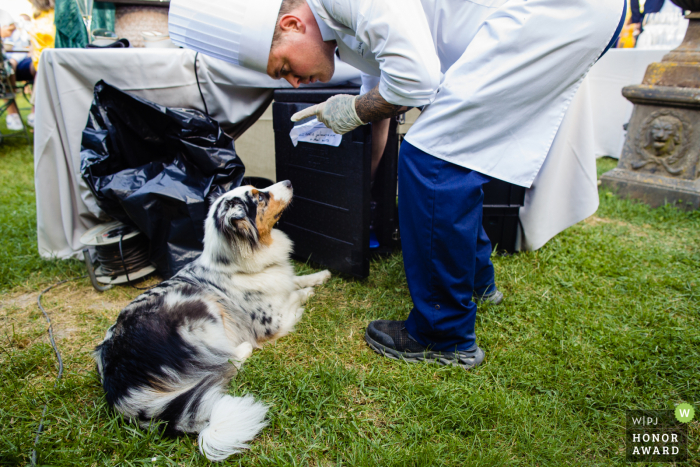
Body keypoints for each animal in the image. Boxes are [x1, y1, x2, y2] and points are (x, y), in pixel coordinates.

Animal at [93, 181, 330, 462]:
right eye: (260, 198)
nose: (288, 183)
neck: (236, 264)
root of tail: (117, 381)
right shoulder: (272, 322)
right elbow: (295, 297)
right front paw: (310, 293)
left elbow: (296, 280)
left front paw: (321, 275)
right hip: (201, 308)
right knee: (224, 364)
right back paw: (243, 348)